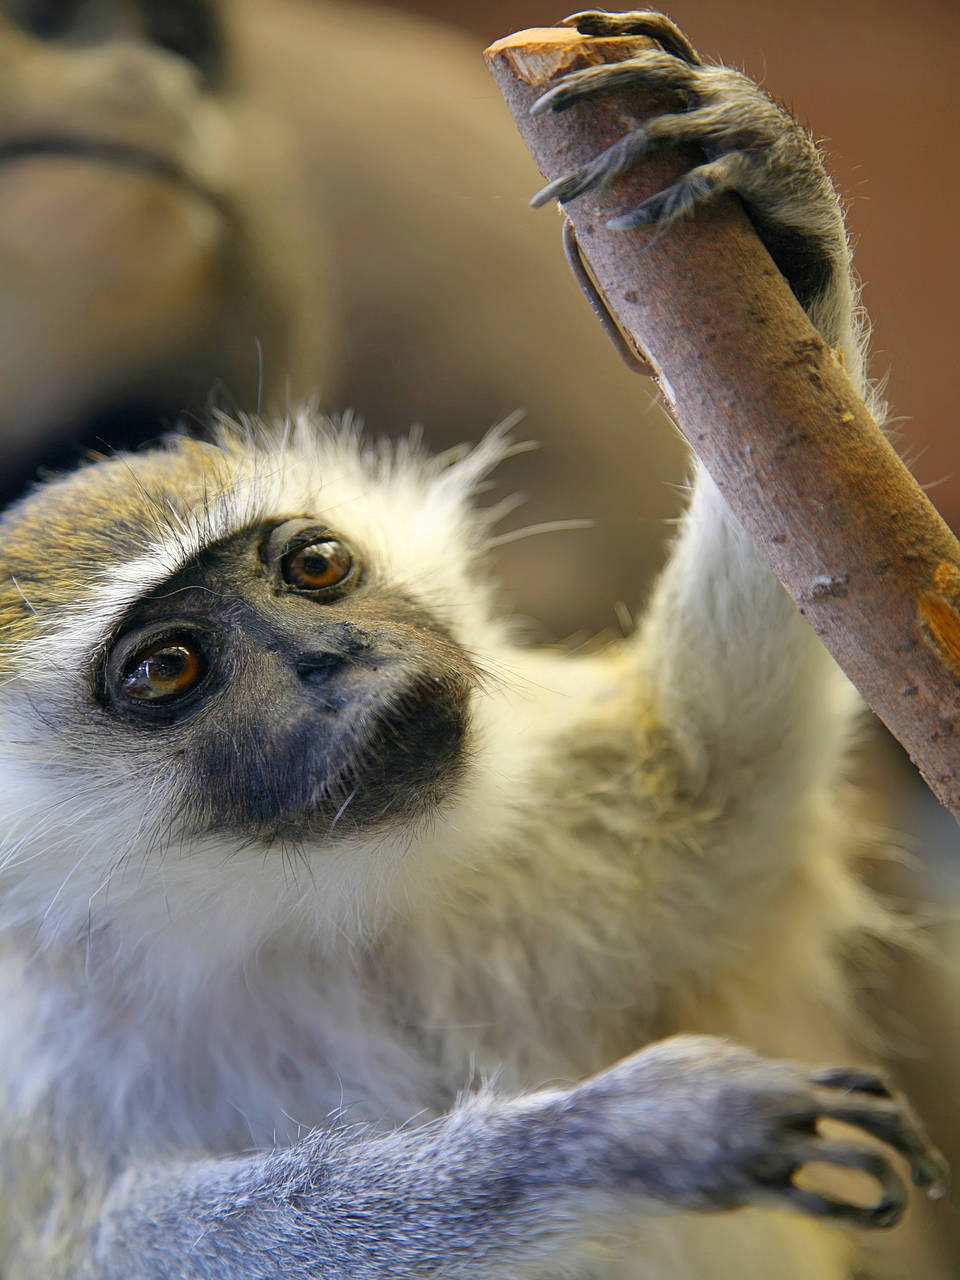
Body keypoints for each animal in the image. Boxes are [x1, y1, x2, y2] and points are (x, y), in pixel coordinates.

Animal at [0, 10, 952, 1280]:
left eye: (315, 566)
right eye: (168, 668)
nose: (335, 661)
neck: (326, 913)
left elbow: (732, 751)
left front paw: (779, 207)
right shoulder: (44, 1060)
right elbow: (110, 1240)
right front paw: (620, 1132)